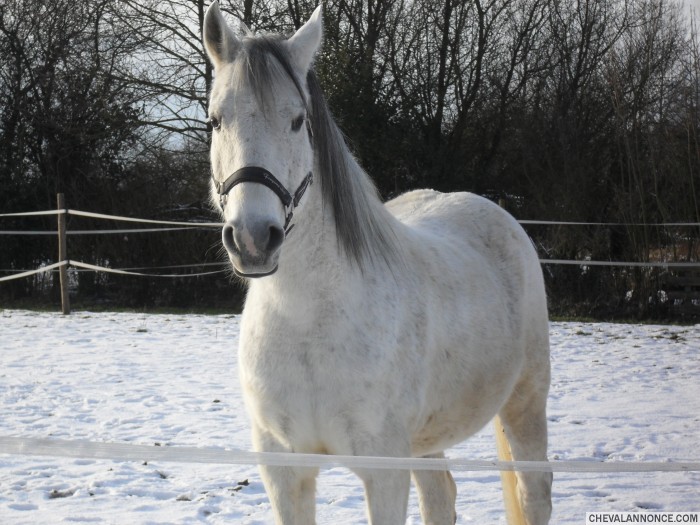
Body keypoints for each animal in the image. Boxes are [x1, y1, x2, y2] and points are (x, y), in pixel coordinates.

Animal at [203, 3, 552, 523]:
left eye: (297, 120)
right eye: (215, 121)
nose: (253, 239)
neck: (307, 322)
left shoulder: (383, 471)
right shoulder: (284, 472)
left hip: (525, 402)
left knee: (535, 494)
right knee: (440, 496)